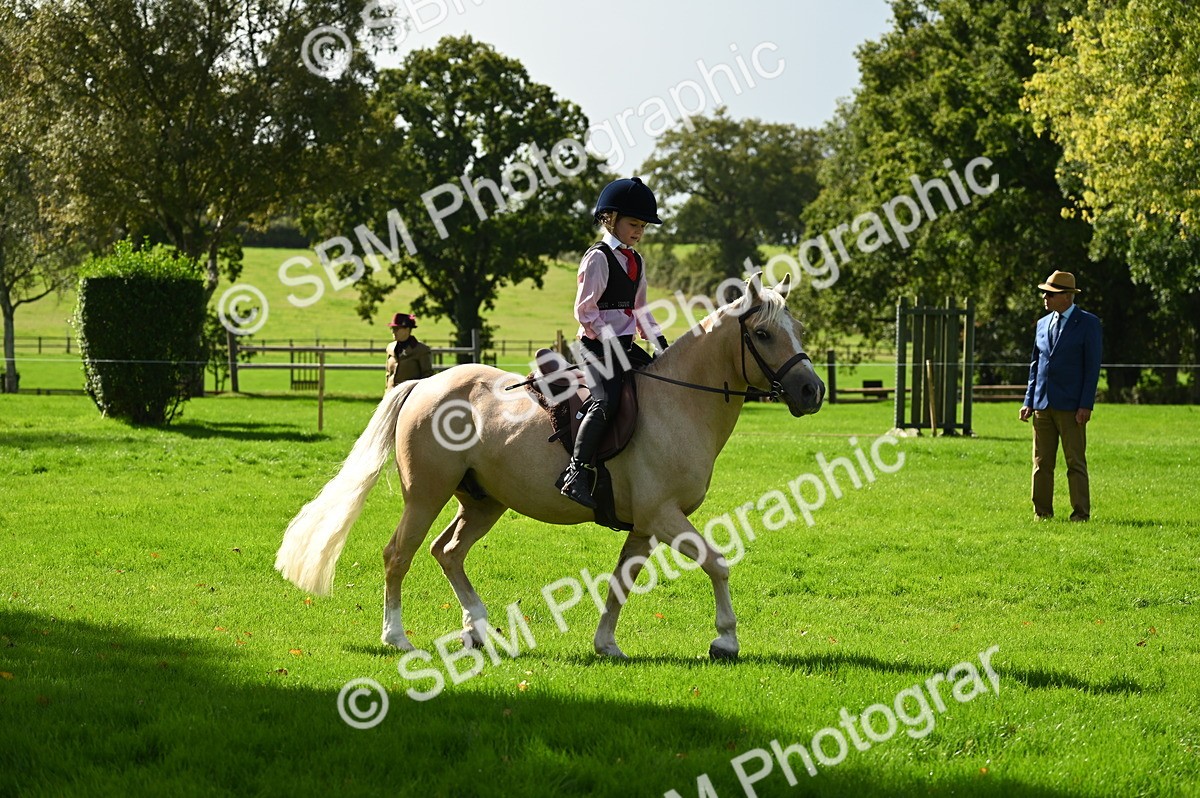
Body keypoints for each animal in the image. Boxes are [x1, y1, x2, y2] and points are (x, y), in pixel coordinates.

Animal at [275, 273, 825, 660]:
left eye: (797, 329)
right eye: (762, 333)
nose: (811, 391)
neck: (679, 402)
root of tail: (426, 384)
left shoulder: (645, 524)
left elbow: (621, 582)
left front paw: (606, 645)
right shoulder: (664, 516)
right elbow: (717, 562)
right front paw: (725, 641)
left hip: (483, 502)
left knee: (448, 552)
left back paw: (480, 629)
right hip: (427, 495)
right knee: (398, 555)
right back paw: (397, 638)